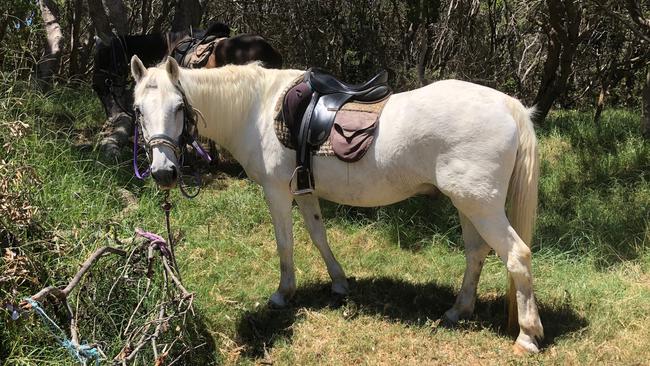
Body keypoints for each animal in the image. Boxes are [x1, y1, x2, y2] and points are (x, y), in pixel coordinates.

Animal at [130, 55, 540, 354]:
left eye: (179, 107)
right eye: (138, 110)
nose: (163, 172)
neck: (256, 110)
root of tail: (510, 106)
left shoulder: (277, 193)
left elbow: (286, 244)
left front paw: (283, 294)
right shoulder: (305, 191)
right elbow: (318, 235)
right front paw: (340, 283)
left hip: (480, 206)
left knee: (517, 256)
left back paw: (527, 335)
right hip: (467, 204)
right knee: (476, 253)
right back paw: (458, 310)